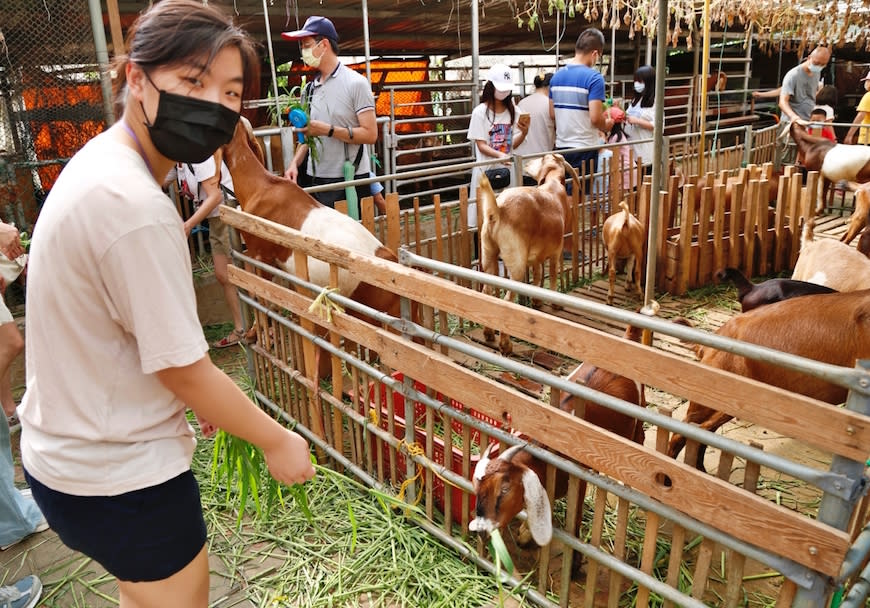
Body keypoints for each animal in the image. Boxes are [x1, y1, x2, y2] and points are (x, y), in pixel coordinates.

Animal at [480, 153, 576, 356]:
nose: (528, 163)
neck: (552, 186)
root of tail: (498, 210)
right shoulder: (557, 249)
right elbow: (553, 274)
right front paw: (555, 303)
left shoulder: (535, 253)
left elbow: (538, 273)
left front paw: (537, 301)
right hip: (515, 262)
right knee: (507, 300)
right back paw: (506, 346)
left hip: (489, 254)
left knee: (487, 292)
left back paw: (488, 334)